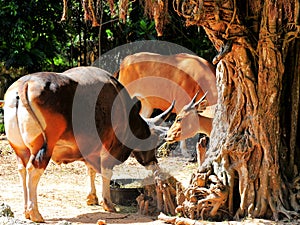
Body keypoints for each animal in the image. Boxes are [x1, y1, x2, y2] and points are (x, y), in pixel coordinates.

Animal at [4, 66, 173, 221]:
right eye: (153, 143)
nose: (153, 162)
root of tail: (25, 84)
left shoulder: (90, 147)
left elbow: (90, 170)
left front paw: (92, 197)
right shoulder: (109, 148)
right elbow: (106, 172)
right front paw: (108, 203)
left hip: (19, 149)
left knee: (22, 170)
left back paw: (26, 210)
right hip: (44, 147)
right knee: (33, 169)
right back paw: (35, 213)